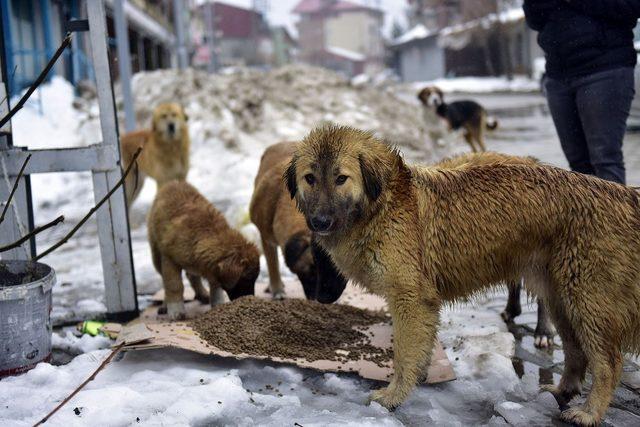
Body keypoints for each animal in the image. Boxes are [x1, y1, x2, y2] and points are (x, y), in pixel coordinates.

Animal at [149, 181, 258, 320]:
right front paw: (176, 311)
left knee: (192, 275)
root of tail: (173, 182)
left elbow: (216, 287)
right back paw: (165, 304)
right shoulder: (169, 258)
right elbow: (174, 285)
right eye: (247, 279)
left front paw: (218, 305)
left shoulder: (212, 268)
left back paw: (202, 294)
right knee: (165, 280)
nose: (251, 300)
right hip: (156, 254)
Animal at [288, 124, 640, 427]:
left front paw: (392, 397)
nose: (319, 222)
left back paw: (589, 413)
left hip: (586, 300)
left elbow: (403, 355)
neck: (386, 204)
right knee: (576, 350)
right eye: (310, 178)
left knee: (609, 362)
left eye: (341, 178)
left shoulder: (410, 299)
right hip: (562, 298)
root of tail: (623, 195)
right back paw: (563, 391)